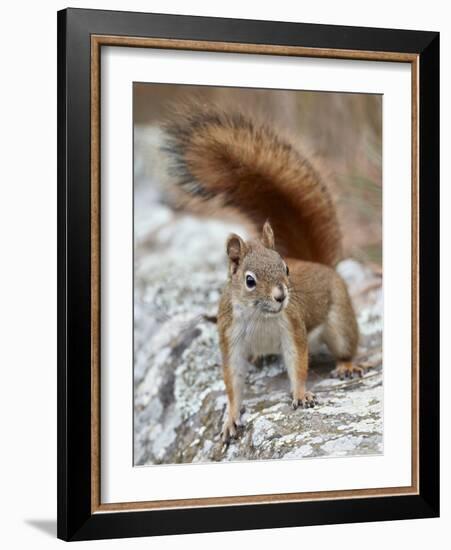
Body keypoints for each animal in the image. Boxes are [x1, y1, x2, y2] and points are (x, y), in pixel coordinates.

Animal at [161, 102, 362, 444]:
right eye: (250, 280)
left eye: (286, 268)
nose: (281, 296)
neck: (259, 317)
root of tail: (320, 265)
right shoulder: (230, 337)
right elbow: (232, 380)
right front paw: (230, 417)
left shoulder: (292, 327)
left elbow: (298, 362)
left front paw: (301, 394)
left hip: (339, 320)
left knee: (345, 342)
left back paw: (347, 364)